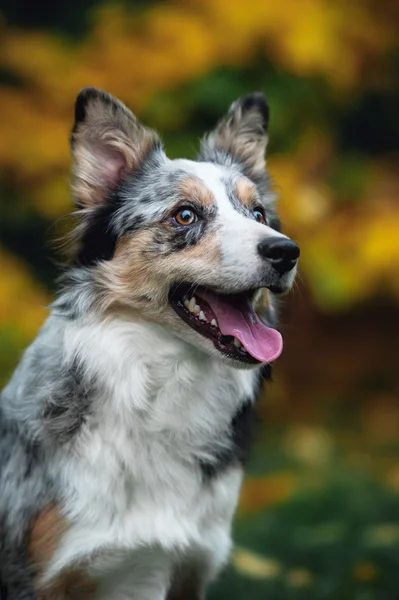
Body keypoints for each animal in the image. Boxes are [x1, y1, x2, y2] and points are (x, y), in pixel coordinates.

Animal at [0, 86, 298, 596]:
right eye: (184, 215)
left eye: (258, 213)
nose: (286, 251)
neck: (168, 380)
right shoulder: (40, 576)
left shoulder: (189, 566)